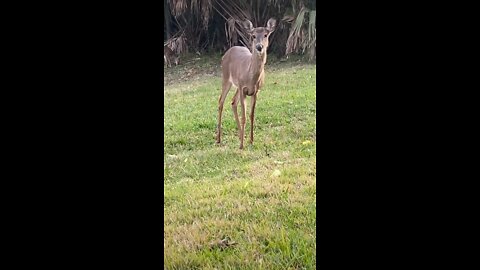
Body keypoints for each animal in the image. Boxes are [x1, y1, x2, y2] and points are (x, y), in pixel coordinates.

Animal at [216, 18, 276, 150]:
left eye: (266, 35)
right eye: (253, 36)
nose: (259, 47)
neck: (250, 76)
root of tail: (227, 52)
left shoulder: (255, 91)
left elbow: (251, 115)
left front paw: (251, 141)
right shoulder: (243, 88)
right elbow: (244, 116)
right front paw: (242, 145)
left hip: (237, 86)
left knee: (233, 102)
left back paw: (239, 136)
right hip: (226, 78)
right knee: (221, 101)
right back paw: (218, 139)